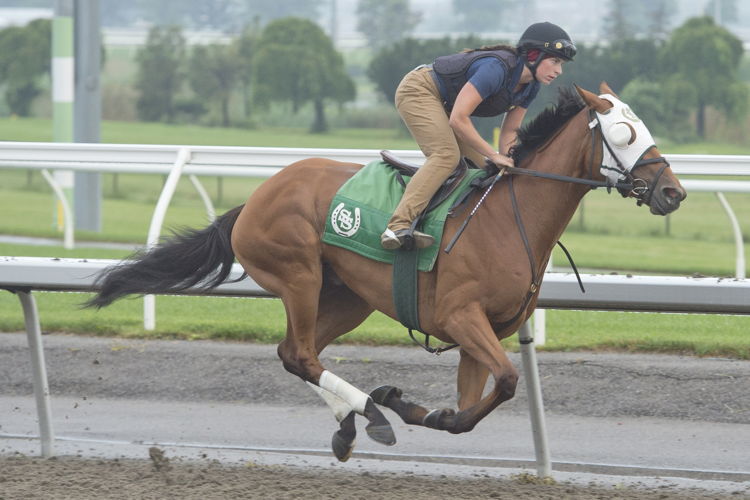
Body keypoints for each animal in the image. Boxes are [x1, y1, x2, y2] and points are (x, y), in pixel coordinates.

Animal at [86, 82, 688, 460]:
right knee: (300, 353)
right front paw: (399, 403)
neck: (507, 218)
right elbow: (508, 382)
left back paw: (353, 423)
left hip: (348, 296)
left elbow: (472, 406)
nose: (673, 193)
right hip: (299, 276)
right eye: (625, 134)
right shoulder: (462, 317)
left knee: (295, 354)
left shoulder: (482, 334)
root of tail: (255, 198)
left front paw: (415, 406)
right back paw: (369, 414)